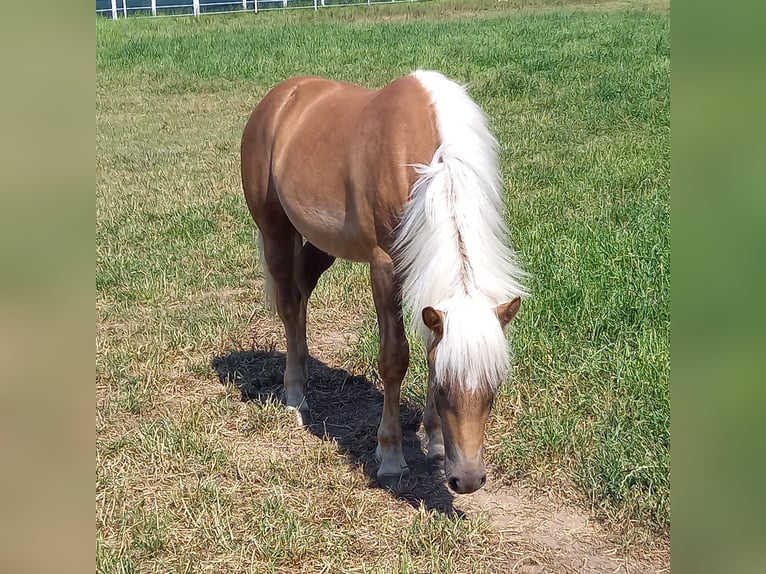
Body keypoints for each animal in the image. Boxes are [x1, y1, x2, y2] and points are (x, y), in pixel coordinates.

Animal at [240, 70, 526, 494]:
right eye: (445, 389)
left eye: (494, 386)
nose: (467, 480)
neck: (429, 162)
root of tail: (280, 98)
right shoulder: (386, 267)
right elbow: (394, 358)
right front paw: (390, 456)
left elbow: (429, 347)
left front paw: (435, 441)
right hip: (275, 230)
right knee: (289, 305)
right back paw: (295, 396)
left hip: (322, 243)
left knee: (302, 293)